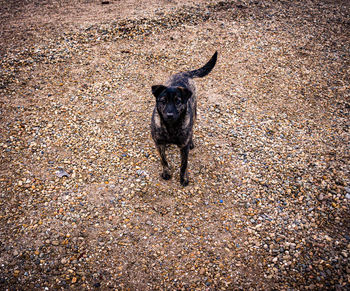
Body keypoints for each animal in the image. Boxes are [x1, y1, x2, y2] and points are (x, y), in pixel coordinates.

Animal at [151, 51, 217, 186]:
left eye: (178, 101)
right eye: (163, 101)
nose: (169, 115)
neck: (171, 127)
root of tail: (185, 73)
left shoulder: (183, 148)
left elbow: (184, 164)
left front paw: (184, 178)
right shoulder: (158, 143)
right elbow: (163, 160)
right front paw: (166, 172)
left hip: (195, 113)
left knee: (192, 128)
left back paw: (191, 141)